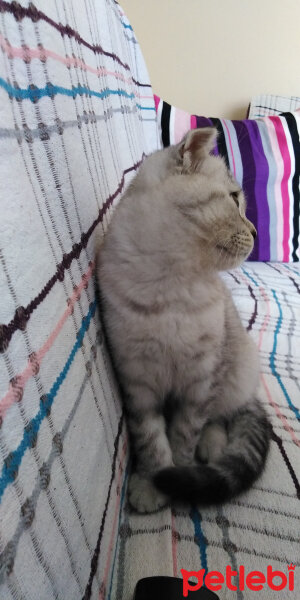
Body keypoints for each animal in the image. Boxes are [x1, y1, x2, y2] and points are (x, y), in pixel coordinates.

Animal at [98, 126, 270, 510]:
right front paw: (154, 481)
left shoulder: (202, 378)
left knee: (221, 415)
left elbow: (185, 431)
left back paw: (213, 447)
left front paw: (178, 476)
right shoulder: (137, 379)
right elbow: (150, 435)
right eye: (234, 199)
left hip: (236, 367)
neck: (172, 285)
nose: (255, 231)